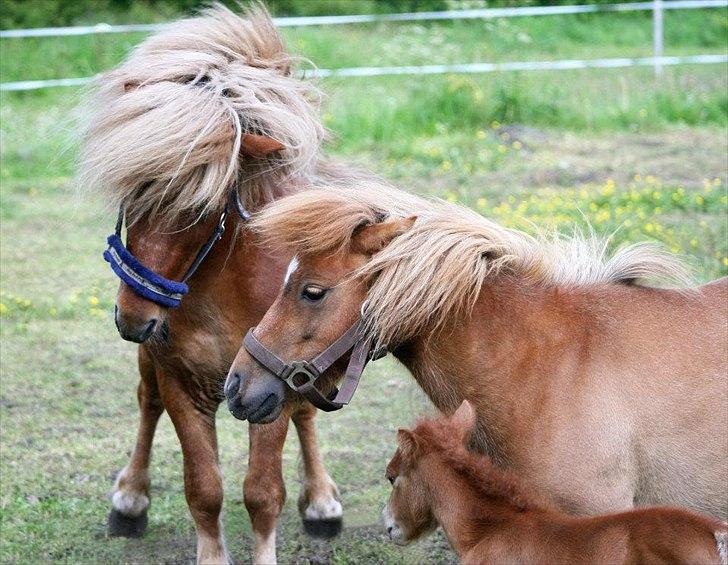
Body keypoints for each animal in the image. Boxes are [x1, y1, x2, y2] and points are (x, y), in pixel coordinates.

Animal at [77, 5, 424, 564]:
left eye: (199, 207)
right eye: (131, 192)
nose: (133, 318)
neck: (223, 290)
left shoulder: (269, 387)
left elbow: (263, 492)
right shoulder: (181, 382)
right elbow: (204, 488)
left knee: (305, 416)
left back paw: (321, 503)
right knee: (146, 400)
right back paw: (130, 499)